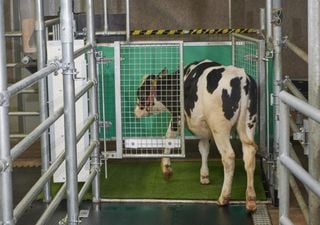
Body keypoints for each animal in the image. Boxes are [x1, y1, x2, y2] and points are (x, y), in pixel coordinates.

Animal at [134, 59, 258, 211]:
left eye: (140, 93)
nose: (135, 112)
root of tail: (241, 76)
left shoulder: (177, 116)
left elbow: (169, 136)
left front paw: (166, 168)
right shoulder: (204, 128)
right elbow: (203, 148)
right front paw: (204, 176)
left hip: (219, 127)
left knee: (228, 157)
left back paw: (224, 197)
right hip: (249, 124)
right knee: (249, 155)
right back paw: (250, 198)